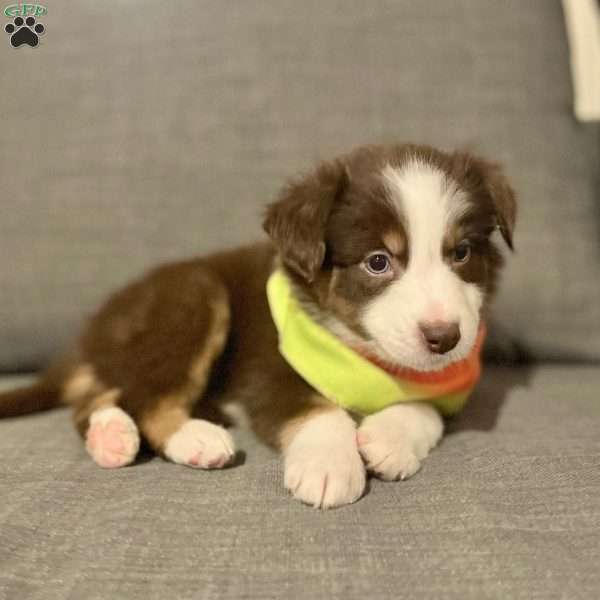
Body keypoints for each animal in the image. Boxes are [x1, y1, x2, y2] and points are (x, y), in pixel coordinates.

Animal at [0, 143, 516, 508]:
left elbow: (426, 406)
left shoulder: (450, 385)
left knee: (96, 399)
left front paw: (388, 439)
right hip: (195, 293)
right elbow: (319, 412)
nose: (445, 337)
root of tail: (92, 331)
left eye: (461, 253)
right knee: (145, 397)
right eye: (377, 262)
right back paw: (194, 438)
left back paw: (111, 436)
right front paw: (330, 466)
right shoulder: (268, 368)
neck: (365, 358)